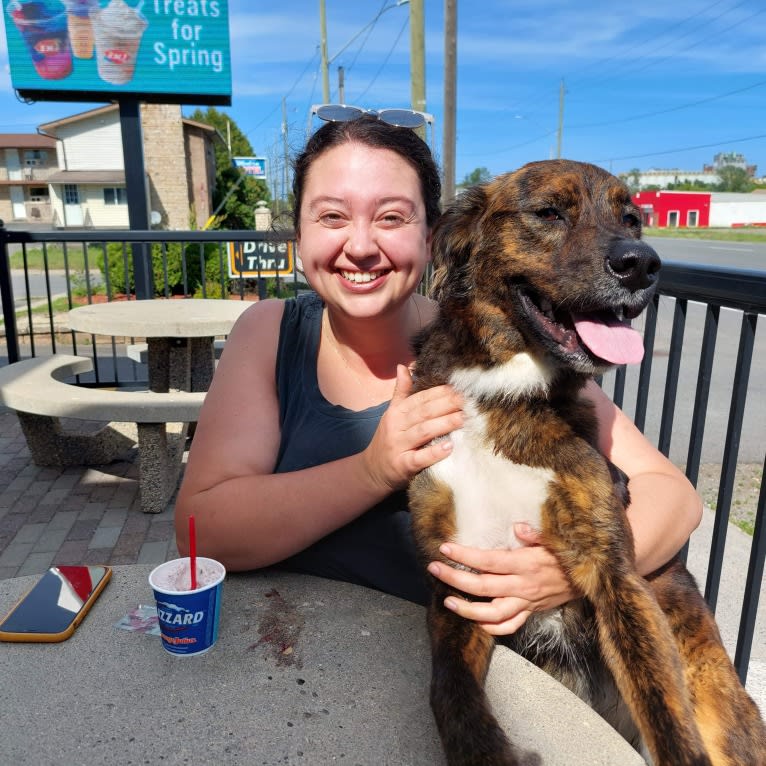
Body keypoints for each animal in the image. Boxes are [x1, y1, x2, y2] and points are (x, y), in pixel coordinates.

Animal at [412, 159, 766, 764]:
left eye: (632, 219)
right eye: (549, 212)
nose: (641, 264)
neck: (506, 394)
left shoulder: (614, 572)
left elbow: (665, 713)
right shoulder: (460, 577)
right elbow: (449, 692)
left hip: (721, 712)